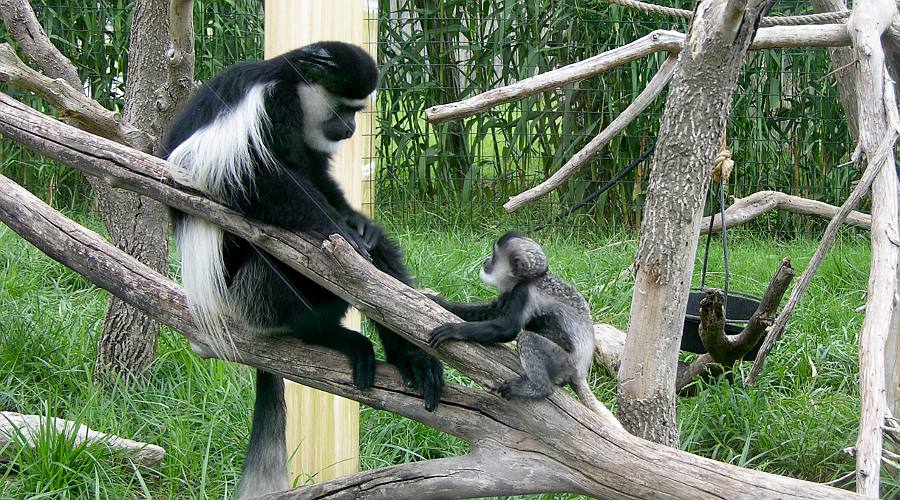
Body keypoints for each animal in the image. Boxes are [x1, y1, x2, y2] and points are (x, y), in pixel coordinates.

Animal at [161, 42, 446, 496]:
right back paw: (330, 335)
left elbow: (317, 176)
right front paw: (338, 229)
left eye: (357, 111)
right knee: (284, 268)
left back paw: (410, 360)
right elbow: (254, 179)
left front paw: (357, 224)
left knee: (381, 260)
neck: (291, 86)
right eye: (343, 108)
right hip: (253, 295)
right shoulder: (266, 110)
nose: (349, 128)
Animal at [426, 232, 616, 424]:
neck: (530, 279)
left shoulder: (522, 292)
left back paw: (539, 388)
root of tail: (580, 371)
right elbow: (490, 311)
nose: (486, 261)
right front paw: (438, 301)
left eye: (494, 256)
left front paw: (452, 330)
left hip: (563, 361)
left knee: (528, 339)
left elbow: (507, 329)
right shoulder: (510, 293)